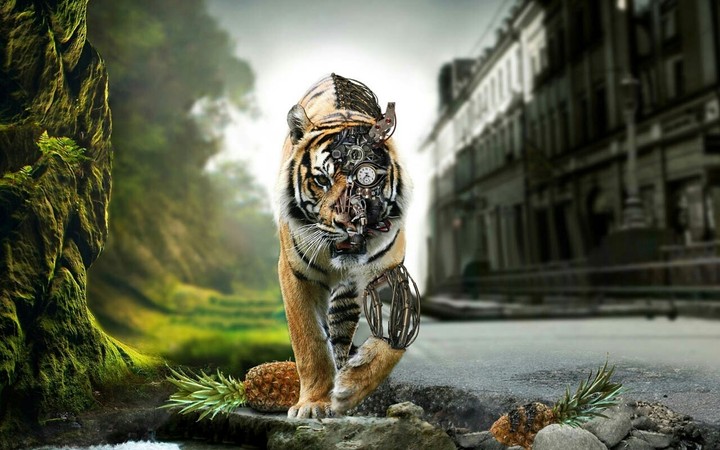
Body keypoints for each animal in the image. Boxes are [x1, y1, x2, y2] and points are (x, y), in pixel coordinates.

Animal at [275, 73, 413, 418]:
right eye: (322, 180)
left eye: (367, 178)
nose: (349, 223)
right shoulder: (295, 274)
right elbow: (309, 341)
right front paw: (313, 403)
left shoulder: (391, 273)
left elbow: (393, 339)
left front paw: (351, 387)